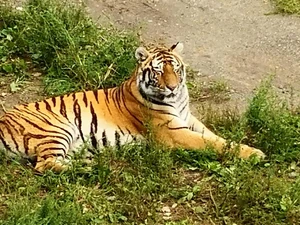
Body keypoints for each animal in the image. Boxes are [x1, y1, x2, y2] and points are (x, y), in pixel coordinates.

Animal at [0, 42, 264, 172]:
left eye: (176, 68)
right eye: (158, 71)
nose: (172, 87)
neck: (177, 99)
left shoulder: (189, 120)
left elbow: (216, 137)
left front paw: (247, 148)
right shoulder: (174, 133)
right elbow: (211, 143)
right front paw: (255, 154)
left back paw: (90, 163)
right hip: (58, 127)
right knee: (43, 165)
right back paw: (90, 168)